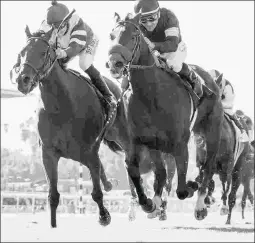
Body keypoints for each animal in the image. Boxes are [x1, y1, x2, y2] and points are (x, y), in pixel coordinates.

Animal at [9, 26, 131, 228]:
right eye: (22, 53)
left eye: (43, 53)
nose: (22, 80)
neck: (62, 105)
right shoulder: (49, 154)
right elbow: (53, 195)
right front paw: (53, 225)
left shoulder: (89, 151)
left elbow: (96, 192)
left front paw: (104, 216)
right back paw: (109, 183)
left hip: (120, 137)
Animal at [105, 12, 223, 220]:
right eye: (111, 35)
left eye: (133, 36)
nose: (114, 63)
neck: (152, 94)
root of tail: (210, 79)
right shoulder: (141, 140)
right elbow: (135, 170)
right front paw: (149, 203)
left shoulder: (180, 142)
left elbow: (182, 188)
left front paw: (191, 187)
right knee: (162, 172)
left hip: (211, 131)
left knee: (207, 167)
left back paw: (200, 206)